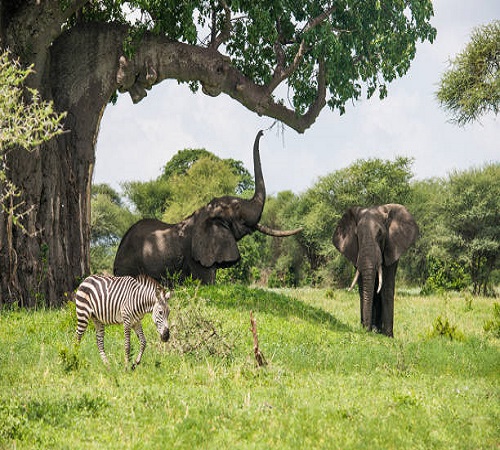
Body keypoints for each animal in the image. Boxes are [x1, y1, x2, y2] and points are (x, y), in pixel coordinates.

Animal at [334, 206, 420, 336]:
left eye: (380, 234)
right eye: (357, 235)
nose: (366, 329)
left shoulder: (391, 247)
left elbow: (386, 287)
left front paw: (388, 336)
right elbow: (363, 287)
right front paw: (366, 328)